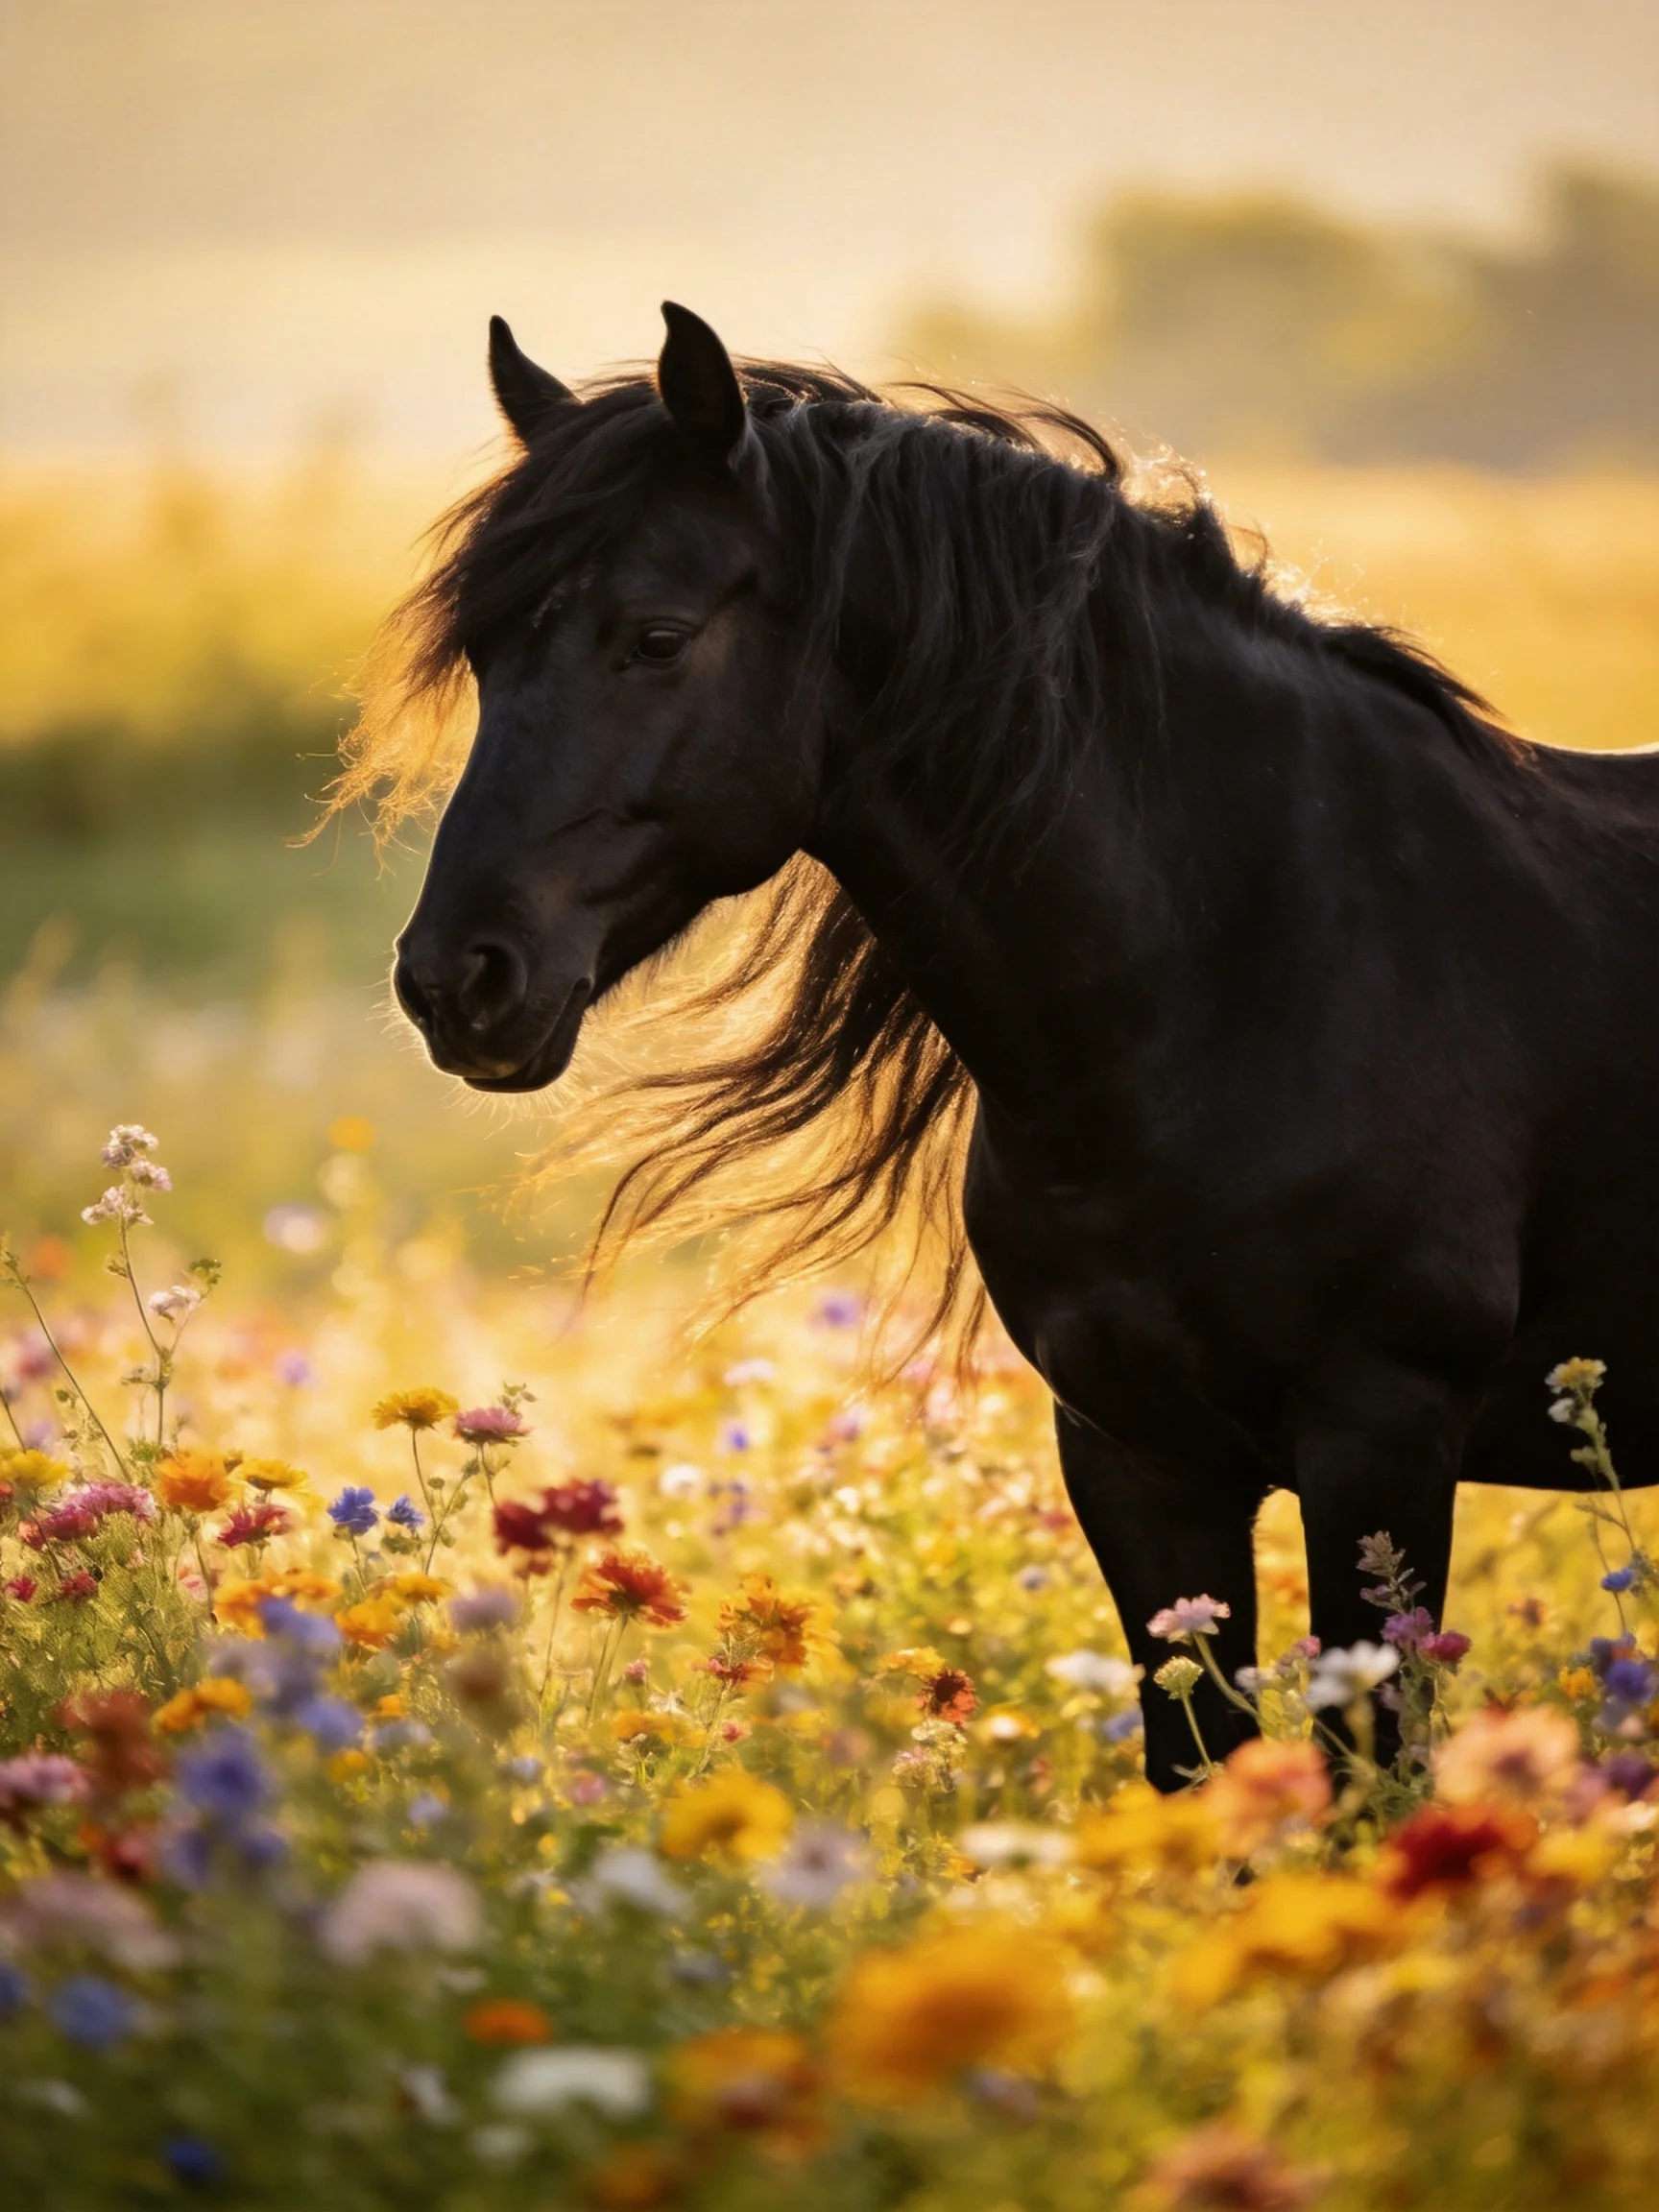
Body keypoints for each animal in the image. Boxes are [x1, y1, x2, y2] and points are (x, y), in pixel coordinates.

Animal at [372, 302, 1659, 1789]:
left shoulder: (1381, 1440)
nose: (455, 980)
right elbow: (1201, 1778)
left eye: (655, 635)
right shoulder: (1135, 1458)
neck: (1262, 961)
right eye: (486, 657)